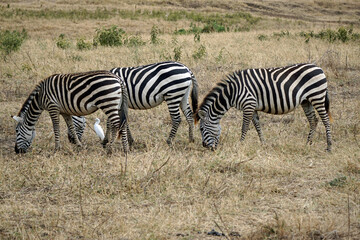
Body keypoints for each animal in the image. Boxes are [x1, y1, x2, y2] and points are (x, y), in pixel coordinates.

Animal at [195, 62, 334, 151]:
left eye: (201, 129)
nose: (205, 146)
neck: (232, 92)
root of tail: (318, 68)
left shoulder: (248, 104)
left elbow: (244, 127)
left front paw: (240, 145)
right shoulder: (253, 107)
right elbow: (257, 126)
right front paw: (263, 144)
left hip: (317, 96)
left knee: (325, 120)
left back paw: (329, 146)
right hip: (306, 101)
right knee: (313, 120)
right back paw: (307, 143)